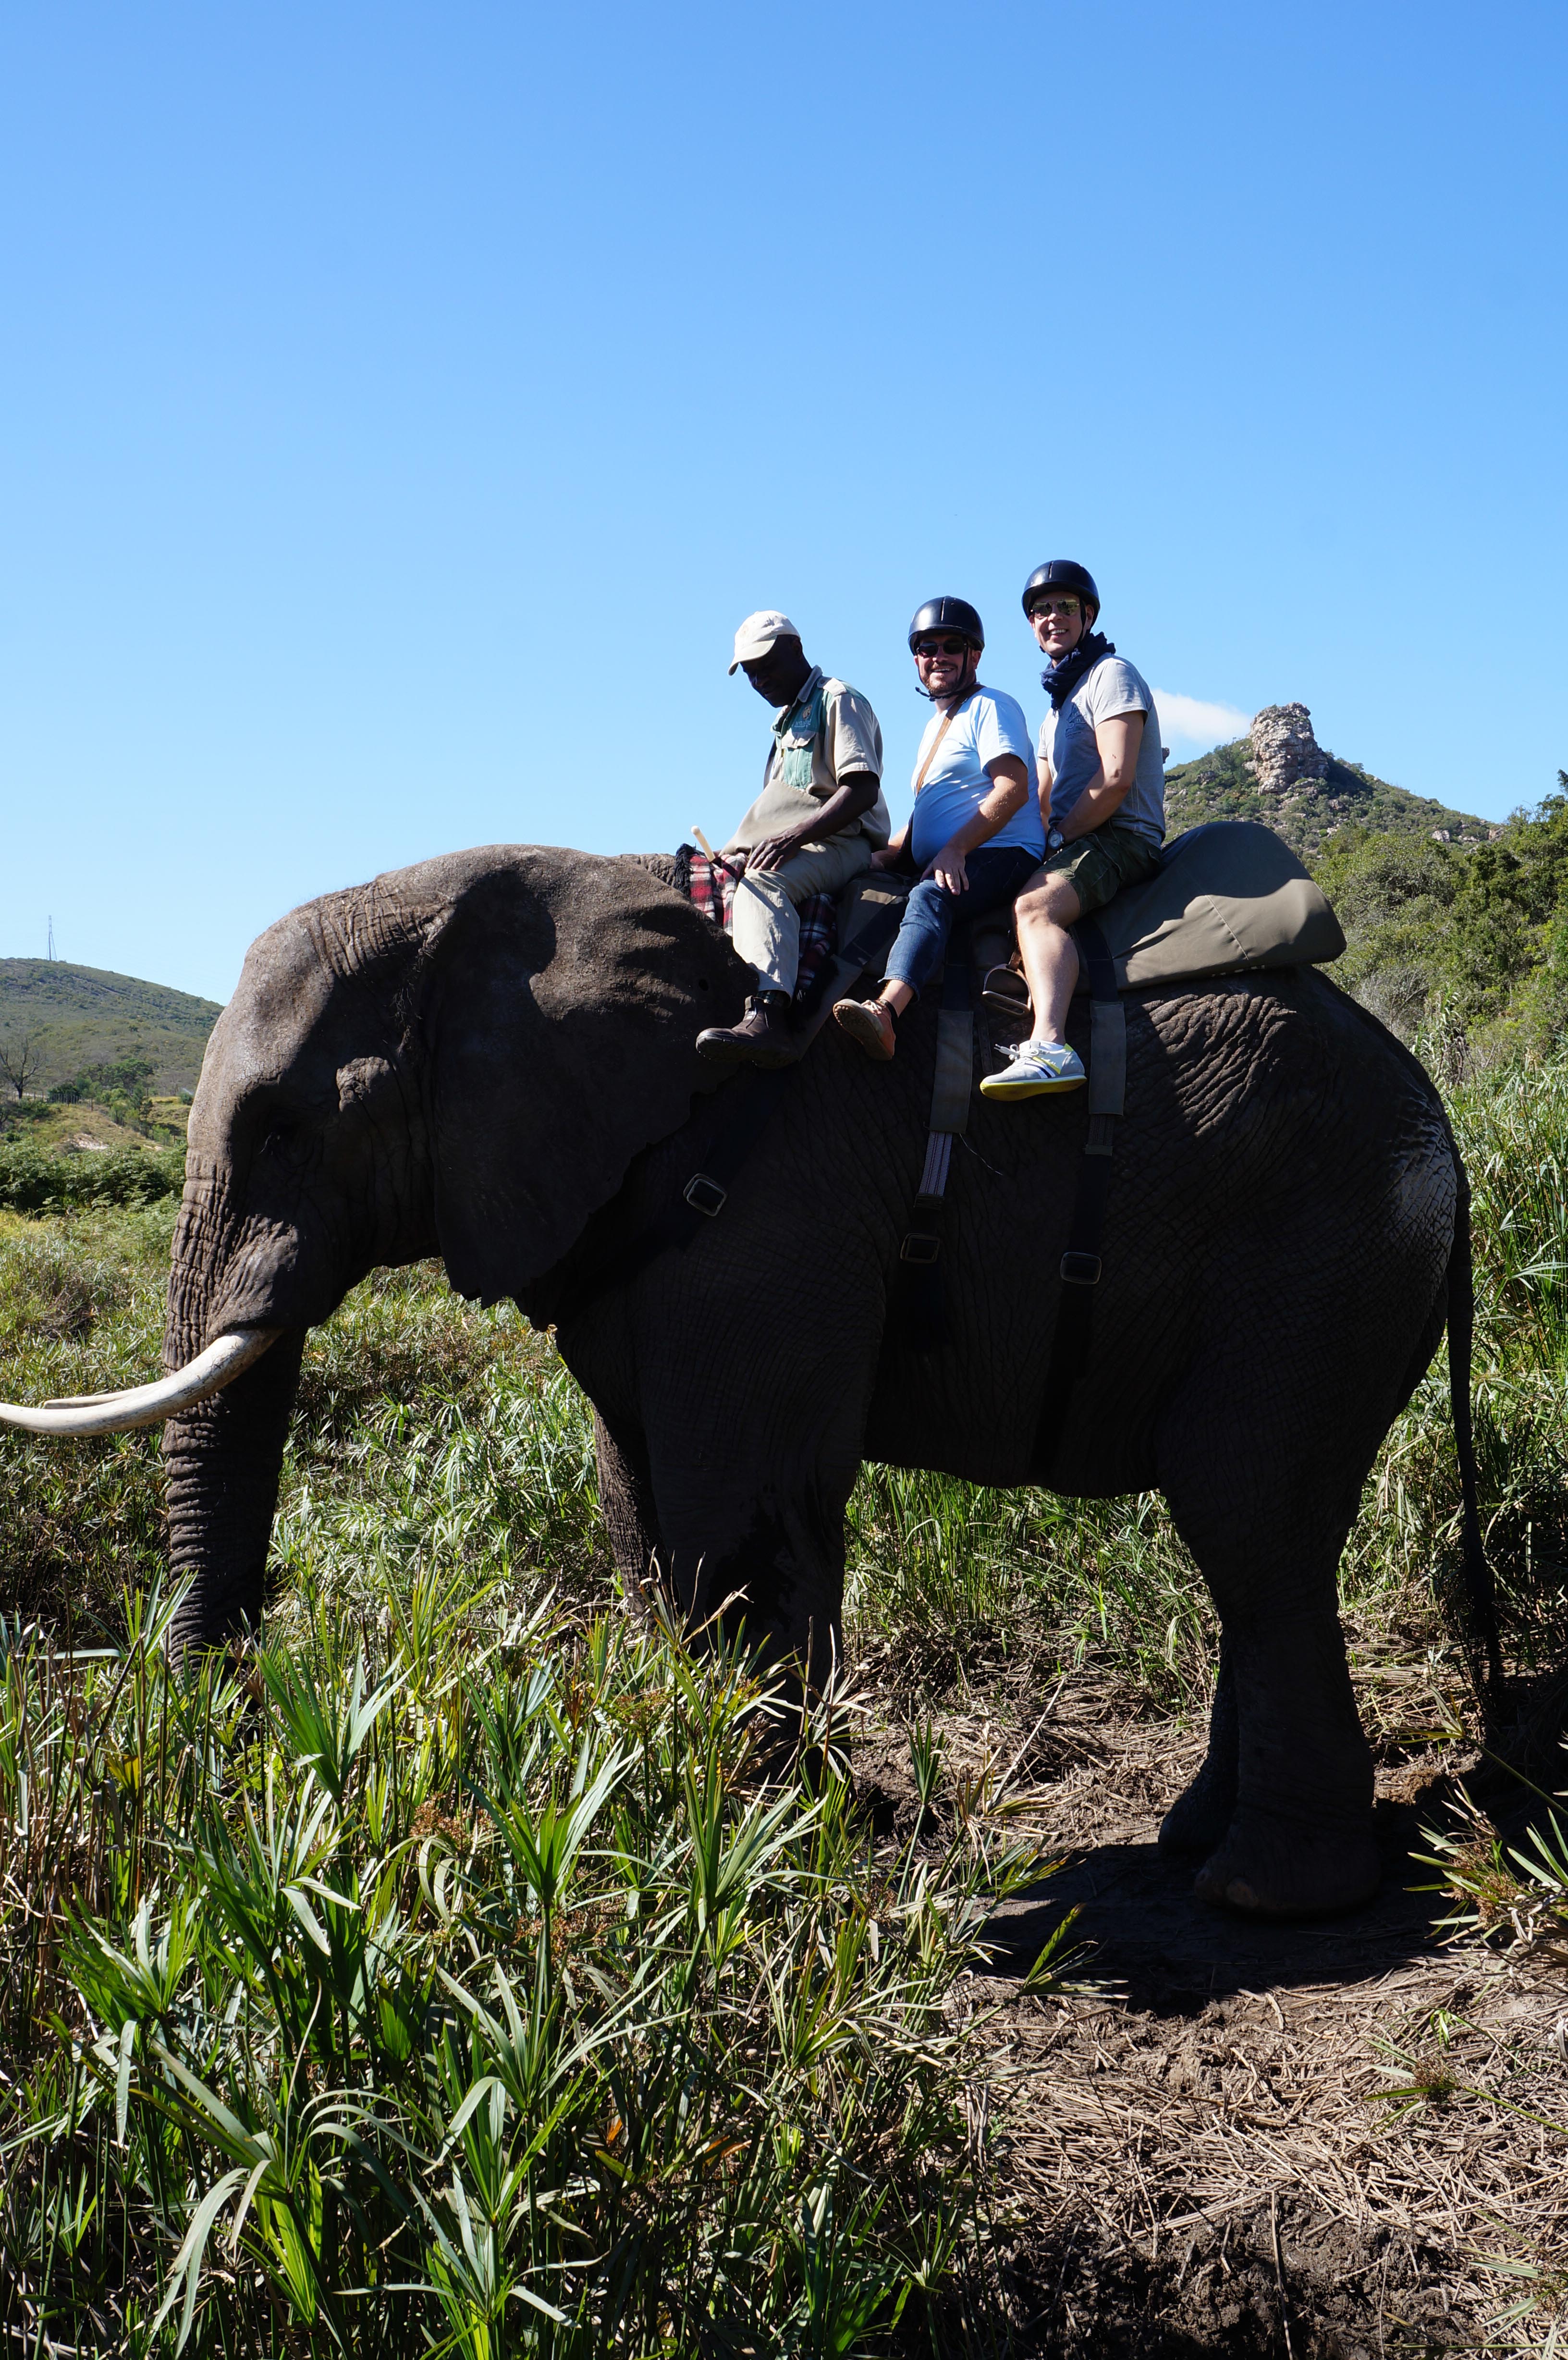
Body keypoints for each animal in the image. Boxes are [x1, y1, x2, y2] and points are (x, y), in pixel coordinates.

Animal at [1, 844, 1484, 1920]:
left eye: (293, 1123)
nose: (234, 1734)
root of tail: (1451, 1143)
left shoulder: (769, 1219)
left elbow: (735, 1509)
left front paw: (764, 1842)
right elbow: (635, 1505)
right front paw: (675, 1805)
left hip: (1316, 1254)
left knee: (1245, 1516)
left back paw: (1263, 1896)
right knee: (1265, 1542)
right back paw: (1191, 1849)